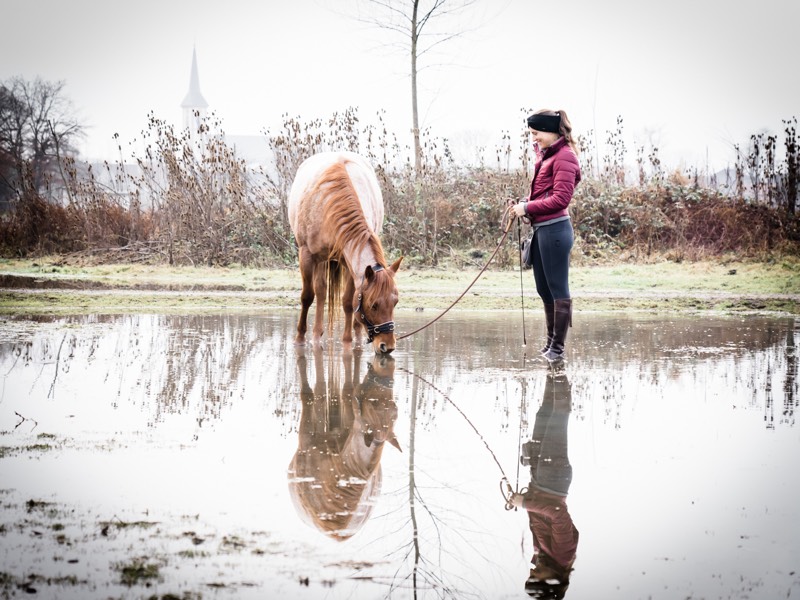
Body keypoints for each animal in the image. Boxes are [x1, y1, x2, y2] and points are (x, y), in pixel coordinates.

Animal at [288, 152, 404, 354]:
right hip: (319, 259)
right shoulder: (307, 255)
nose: (387, 346)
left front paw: (349, 341)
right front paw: (300, 338)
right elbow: (307, 297)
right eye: (374, 305)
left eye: (395, 302)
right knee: (319, 292)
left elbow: (349, 302)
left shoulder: (349, 261)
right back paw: (315, 335)